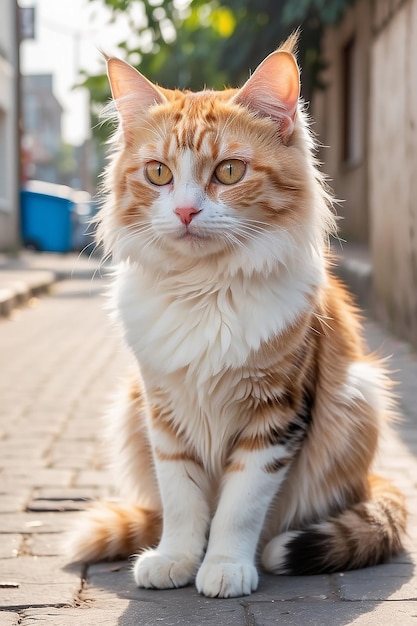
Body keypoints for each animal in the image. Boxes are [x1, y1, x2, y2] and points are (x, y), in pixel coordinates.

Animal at [68, 36, 406, 596]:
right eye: (158, 173)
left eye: (229, 171)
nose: (185, 212)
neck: (205, 289)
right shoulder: (164, 410)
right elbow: (182, 500)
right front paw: (177, 559)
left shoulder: (276, 415)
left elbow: (238, 507)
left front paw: (225, 566)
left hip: (360, 395)